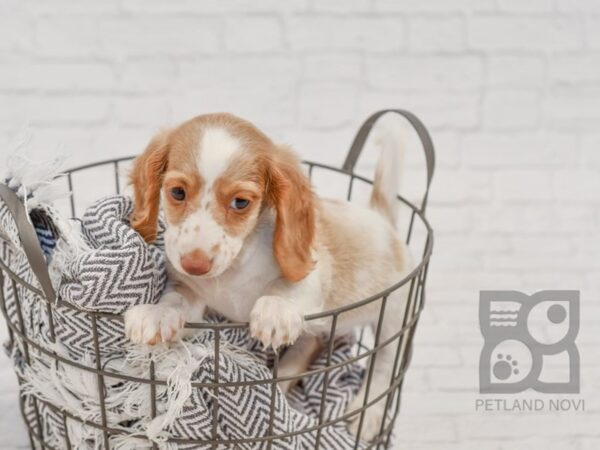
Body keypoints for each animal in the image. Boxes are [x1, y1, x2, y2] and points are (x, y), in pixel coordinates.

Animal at [123, 113, 410, 440]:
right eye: (177, 193)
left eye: (240, 202)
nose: (194, 265)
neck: (234, 269)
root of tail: (381, 217)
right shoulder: (193, 296)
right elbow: (175, 300)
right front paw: (156, 315)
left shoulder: (312, 274)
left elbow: (286, 288)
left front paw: (275, 311)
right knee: (310, 344)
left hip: (393, 316)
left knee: (385, 363)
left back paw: (368, 412)